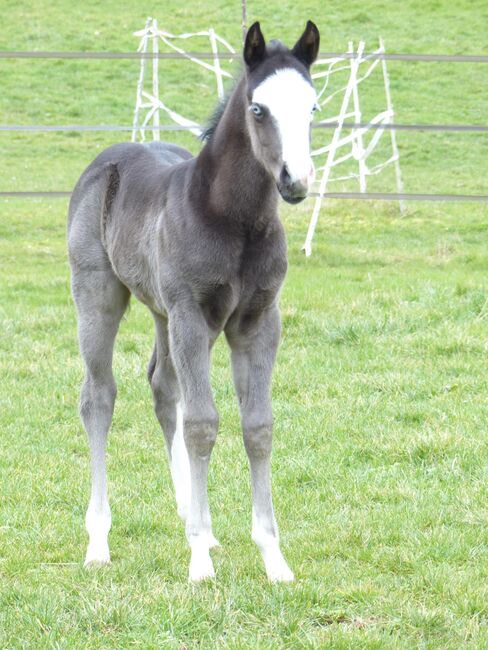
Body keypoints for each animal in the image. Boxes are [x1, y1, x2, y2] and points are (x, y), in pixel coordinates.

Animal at [68, 20, 320, 580]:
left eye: (313, 107)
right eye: (258, 109)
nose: (295, 181)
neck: (233, 220)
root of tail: (104, 159)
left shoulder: (257, 321)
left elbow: (258, 427)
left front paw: (273, 559)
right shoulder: (192, 315)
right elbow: (203, 425)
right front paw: (200, 560)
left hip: (162, 311)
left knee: (163, 389)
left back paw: (188, 515)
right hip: (99, 295)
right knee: (99, 397)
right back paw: (98, 543)